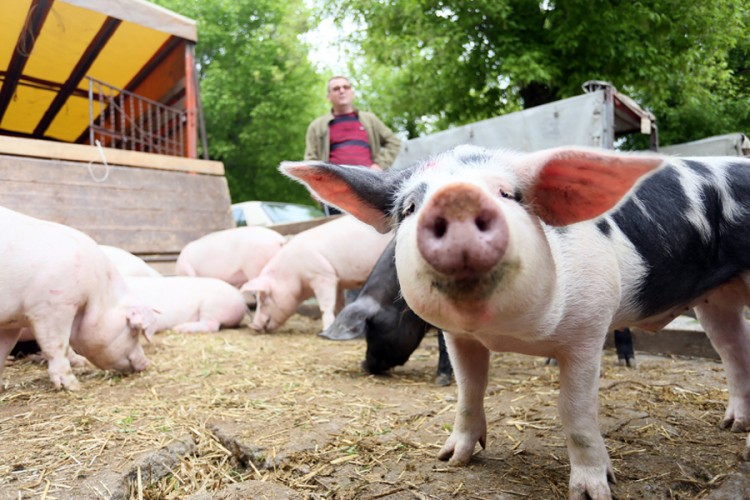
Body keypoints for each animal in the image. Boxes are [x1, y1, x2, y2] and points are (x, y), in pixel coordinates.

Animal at [0, 206, 157, 390]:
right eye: (134, 331)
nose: (147, 363)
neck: (97, 293)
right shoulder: (52, 306)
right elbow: (58, 346)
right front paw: (73, 386)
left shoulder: (11, 324)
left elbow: (3, 350)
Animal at [242, 215, 396, 332]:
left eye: (263, 298)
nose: (253, 326)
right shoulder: (337, 280)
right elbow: (339, 304)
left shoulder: (323, 276)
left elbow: (325, 306)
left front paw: (325, 330)